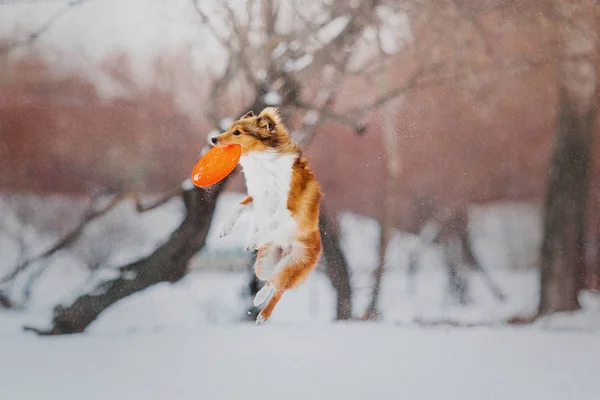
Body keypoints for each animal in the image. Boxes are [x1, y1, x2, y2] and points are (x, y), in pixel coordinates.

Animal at [212, 107, 322, 324]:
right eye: (229, 128)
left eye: (237, 132)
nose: (212, 139)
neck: (262, 161)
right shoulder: (257, 198)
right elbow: (237, 207)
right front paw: (224, 229)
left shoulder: (288, 208)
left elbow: (272, 222)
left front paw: (253, 240)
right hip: (264, 265)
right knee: (272, 280)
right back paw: (260, 303)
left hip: (294, 262)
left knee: (279, 285)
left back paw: (262, 309)